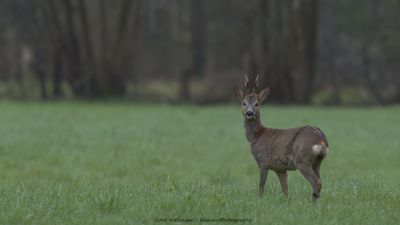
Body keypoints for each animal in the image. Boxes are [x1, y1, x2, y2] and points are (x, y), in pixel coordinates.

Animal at [233, 74, 330, 202]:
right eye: (243, 103)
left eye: (257, 104)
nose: (249, 113)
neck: (256, 136)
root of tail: (320, 138)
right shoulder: (280, 169)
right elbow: (285, 190)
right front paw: (286, 202)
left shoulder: (263, 161)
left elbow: (261, 187)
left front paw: (259, 200)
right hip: (317, 162)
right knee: (320, 181)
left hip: (302, 160)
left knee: (317, 182)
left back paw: (312, 204)